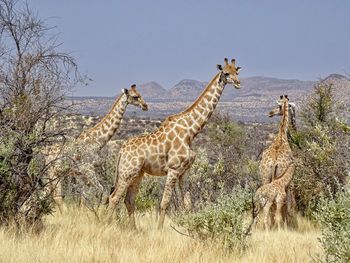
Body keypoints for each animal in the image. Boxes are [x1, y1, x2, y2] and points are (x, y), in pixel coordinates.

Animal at [44, 84, 148, 212]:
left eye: (140, 94)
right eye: (135, 96)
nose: (145, 106)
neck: (97, 141)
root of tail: (46, 154)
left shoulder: (82, 174)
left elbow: (84, 198)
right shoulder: (88, 170)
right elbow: (100, 190)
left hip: (55, 173)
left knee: (48, 194)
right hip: (53, 172)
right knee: (56, 197)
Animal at [108, 57, 242, 229]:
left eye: (236, 72)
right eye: (225, 73)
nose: (238, 83)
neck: (191, 131)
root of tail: (121, 150)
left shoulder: (184, 172)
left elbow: (187, 203)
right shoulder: (173, 169)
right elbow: (165, 202)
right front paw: (159, 230)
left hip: (137, 173)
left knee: (128, 199)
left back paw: (134, 230)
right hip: (127, 172)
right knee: (114, 198)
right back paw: (106, 224)